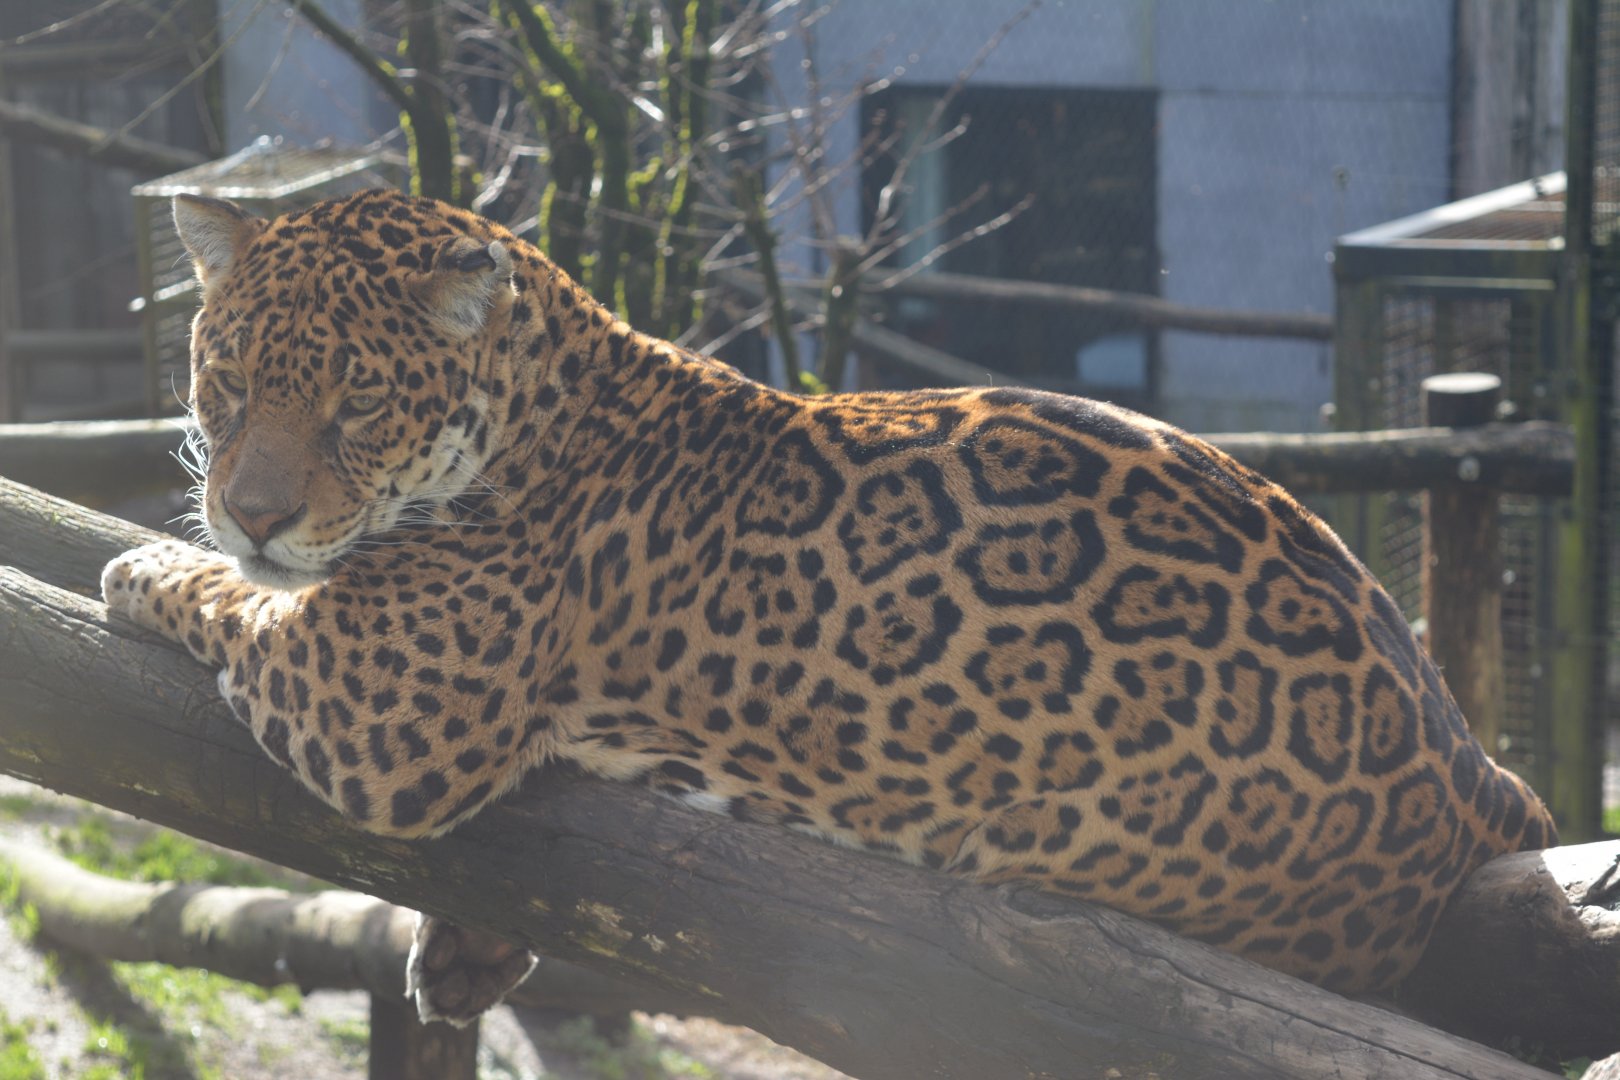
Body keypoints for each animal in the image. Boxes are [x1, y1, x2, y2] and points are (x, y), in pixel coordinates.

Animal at [103, 188, 1554, 1024]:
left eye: (357, 402)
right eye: (229, 380)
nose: (254, 509)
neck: (541, 395)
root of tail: (1477, 772)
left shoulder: (382, 700)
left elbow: (239, 601)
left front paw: (145, 567)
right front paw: (465, 952)